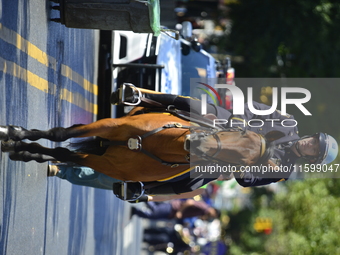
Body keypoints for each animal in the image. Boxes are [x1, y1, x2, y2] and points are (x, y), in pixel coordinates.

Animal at [0, 106, 282, 182]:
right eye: (241, 131)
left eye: (240, 164)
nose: (197, 146)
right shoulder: (108, 126)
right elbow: (59, 134)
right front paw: (12, 132)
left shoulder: (102, 162)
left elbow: (61, 150)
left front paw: (22, 150)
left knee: (59, 153)